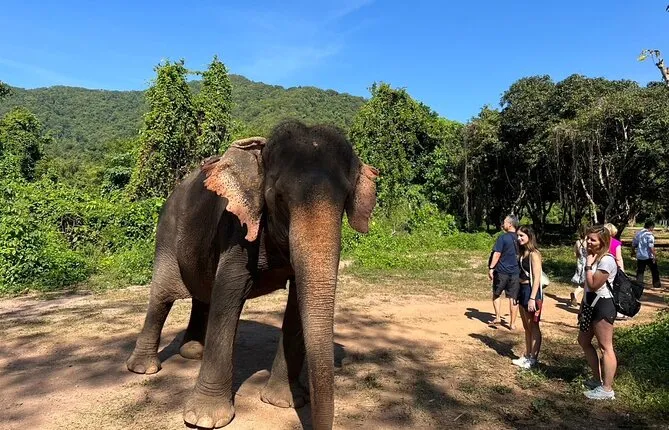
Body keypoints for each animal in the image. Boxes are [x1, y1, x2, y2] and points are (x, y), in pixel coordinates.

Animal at [126, 120, 378, 430]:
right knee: (162, 297)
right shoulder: (236, 229)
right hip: (166, 234)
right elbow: (228, 295)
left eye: (345, 201)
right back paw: (143, 369)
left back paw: (193, 352)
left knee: (202, 295)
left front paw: (284, 402)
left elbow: (297, 302)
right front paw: (204, 419)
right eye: (279, 198)